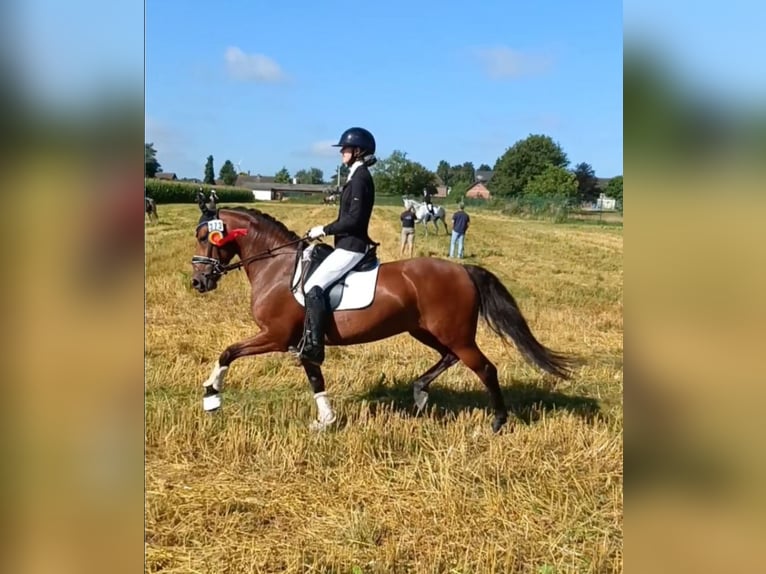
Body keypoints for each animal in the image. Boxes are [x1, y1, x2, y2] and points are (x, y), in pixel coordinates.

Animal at [190, 207, 576, 432]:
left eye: (205, 236)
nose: (198, 282)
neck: (278, 267)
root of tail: (463, 270)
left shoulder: (275, 335)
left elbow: (228, 352)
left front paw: (212, 395)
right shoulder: (301, 342)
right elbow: (315, 378)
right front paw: (326, 420)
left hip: (454, 334)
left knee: (485, 368)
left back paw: (496, 422)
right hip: (426, 330)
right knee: (449, 357)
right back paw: (419, 393)